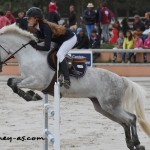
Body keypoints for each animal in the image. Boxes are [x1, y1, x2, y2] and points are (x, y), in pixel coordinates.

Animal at [0, 24, 150, 149]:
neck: (30, 55)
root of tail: (121, 80)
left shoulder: (38, 81)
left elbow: (15, 84)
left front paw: (31, 95)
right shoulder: (26, 78)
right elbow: (11, 82)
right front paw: (30, 95)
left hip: (110, 106)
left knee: (131, 118)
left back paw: (137, 143)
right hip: (103, 107)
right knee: (124, 122)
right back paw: (131, 144)